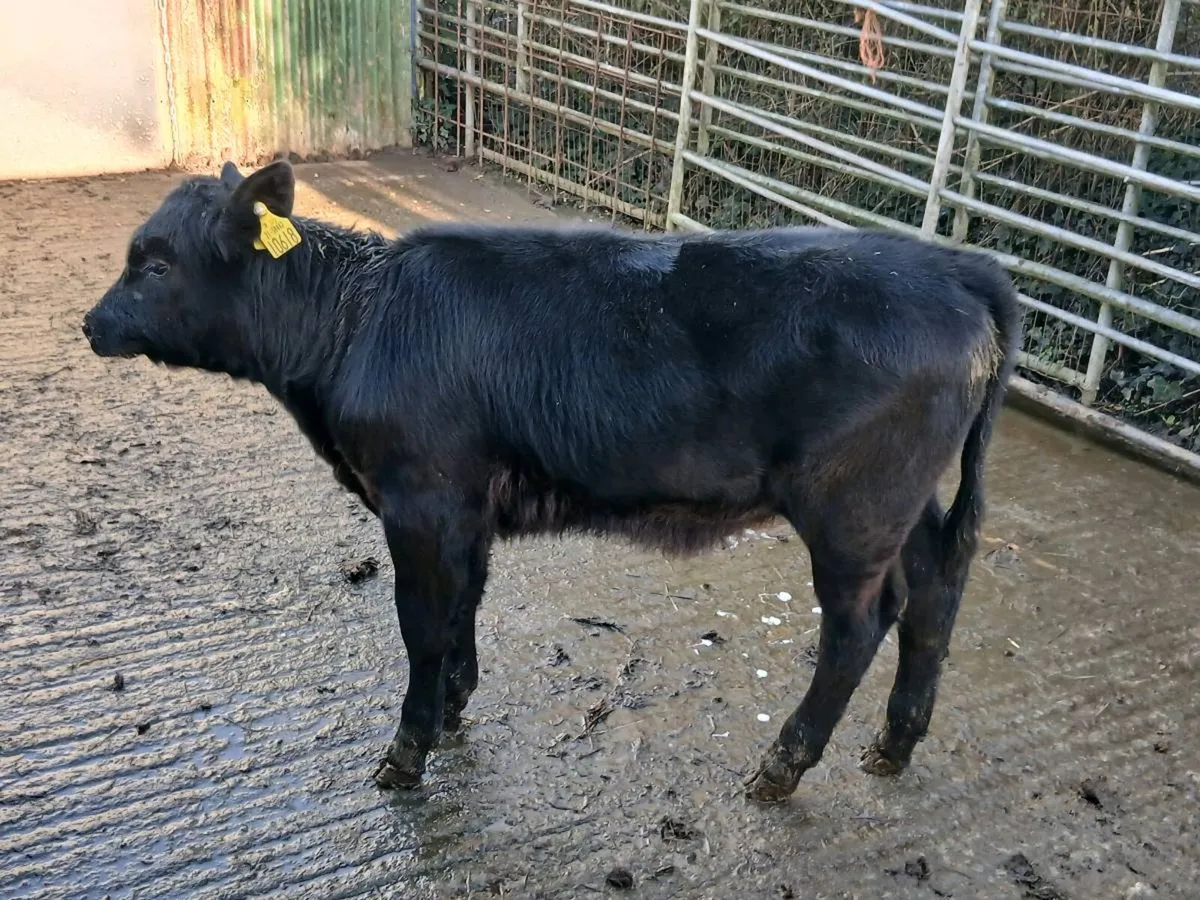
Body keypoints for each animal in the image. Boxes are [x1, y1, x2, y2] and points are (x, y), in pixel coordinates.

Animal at [82, 159, 1020, 802]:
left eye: (156, 265)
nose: (91, 323)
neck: (359, 319)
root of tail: (954, 266)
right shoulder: (466, 506)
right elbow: (464, 604)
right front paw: (454, 708)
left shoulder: (420, 499)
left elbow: (421, 625)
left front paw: (406, 752)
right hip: (907, 500)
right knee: (936, 590)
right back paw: (895, 744)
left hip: (852, 506)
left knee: (858, 628)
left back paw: (783, 766)